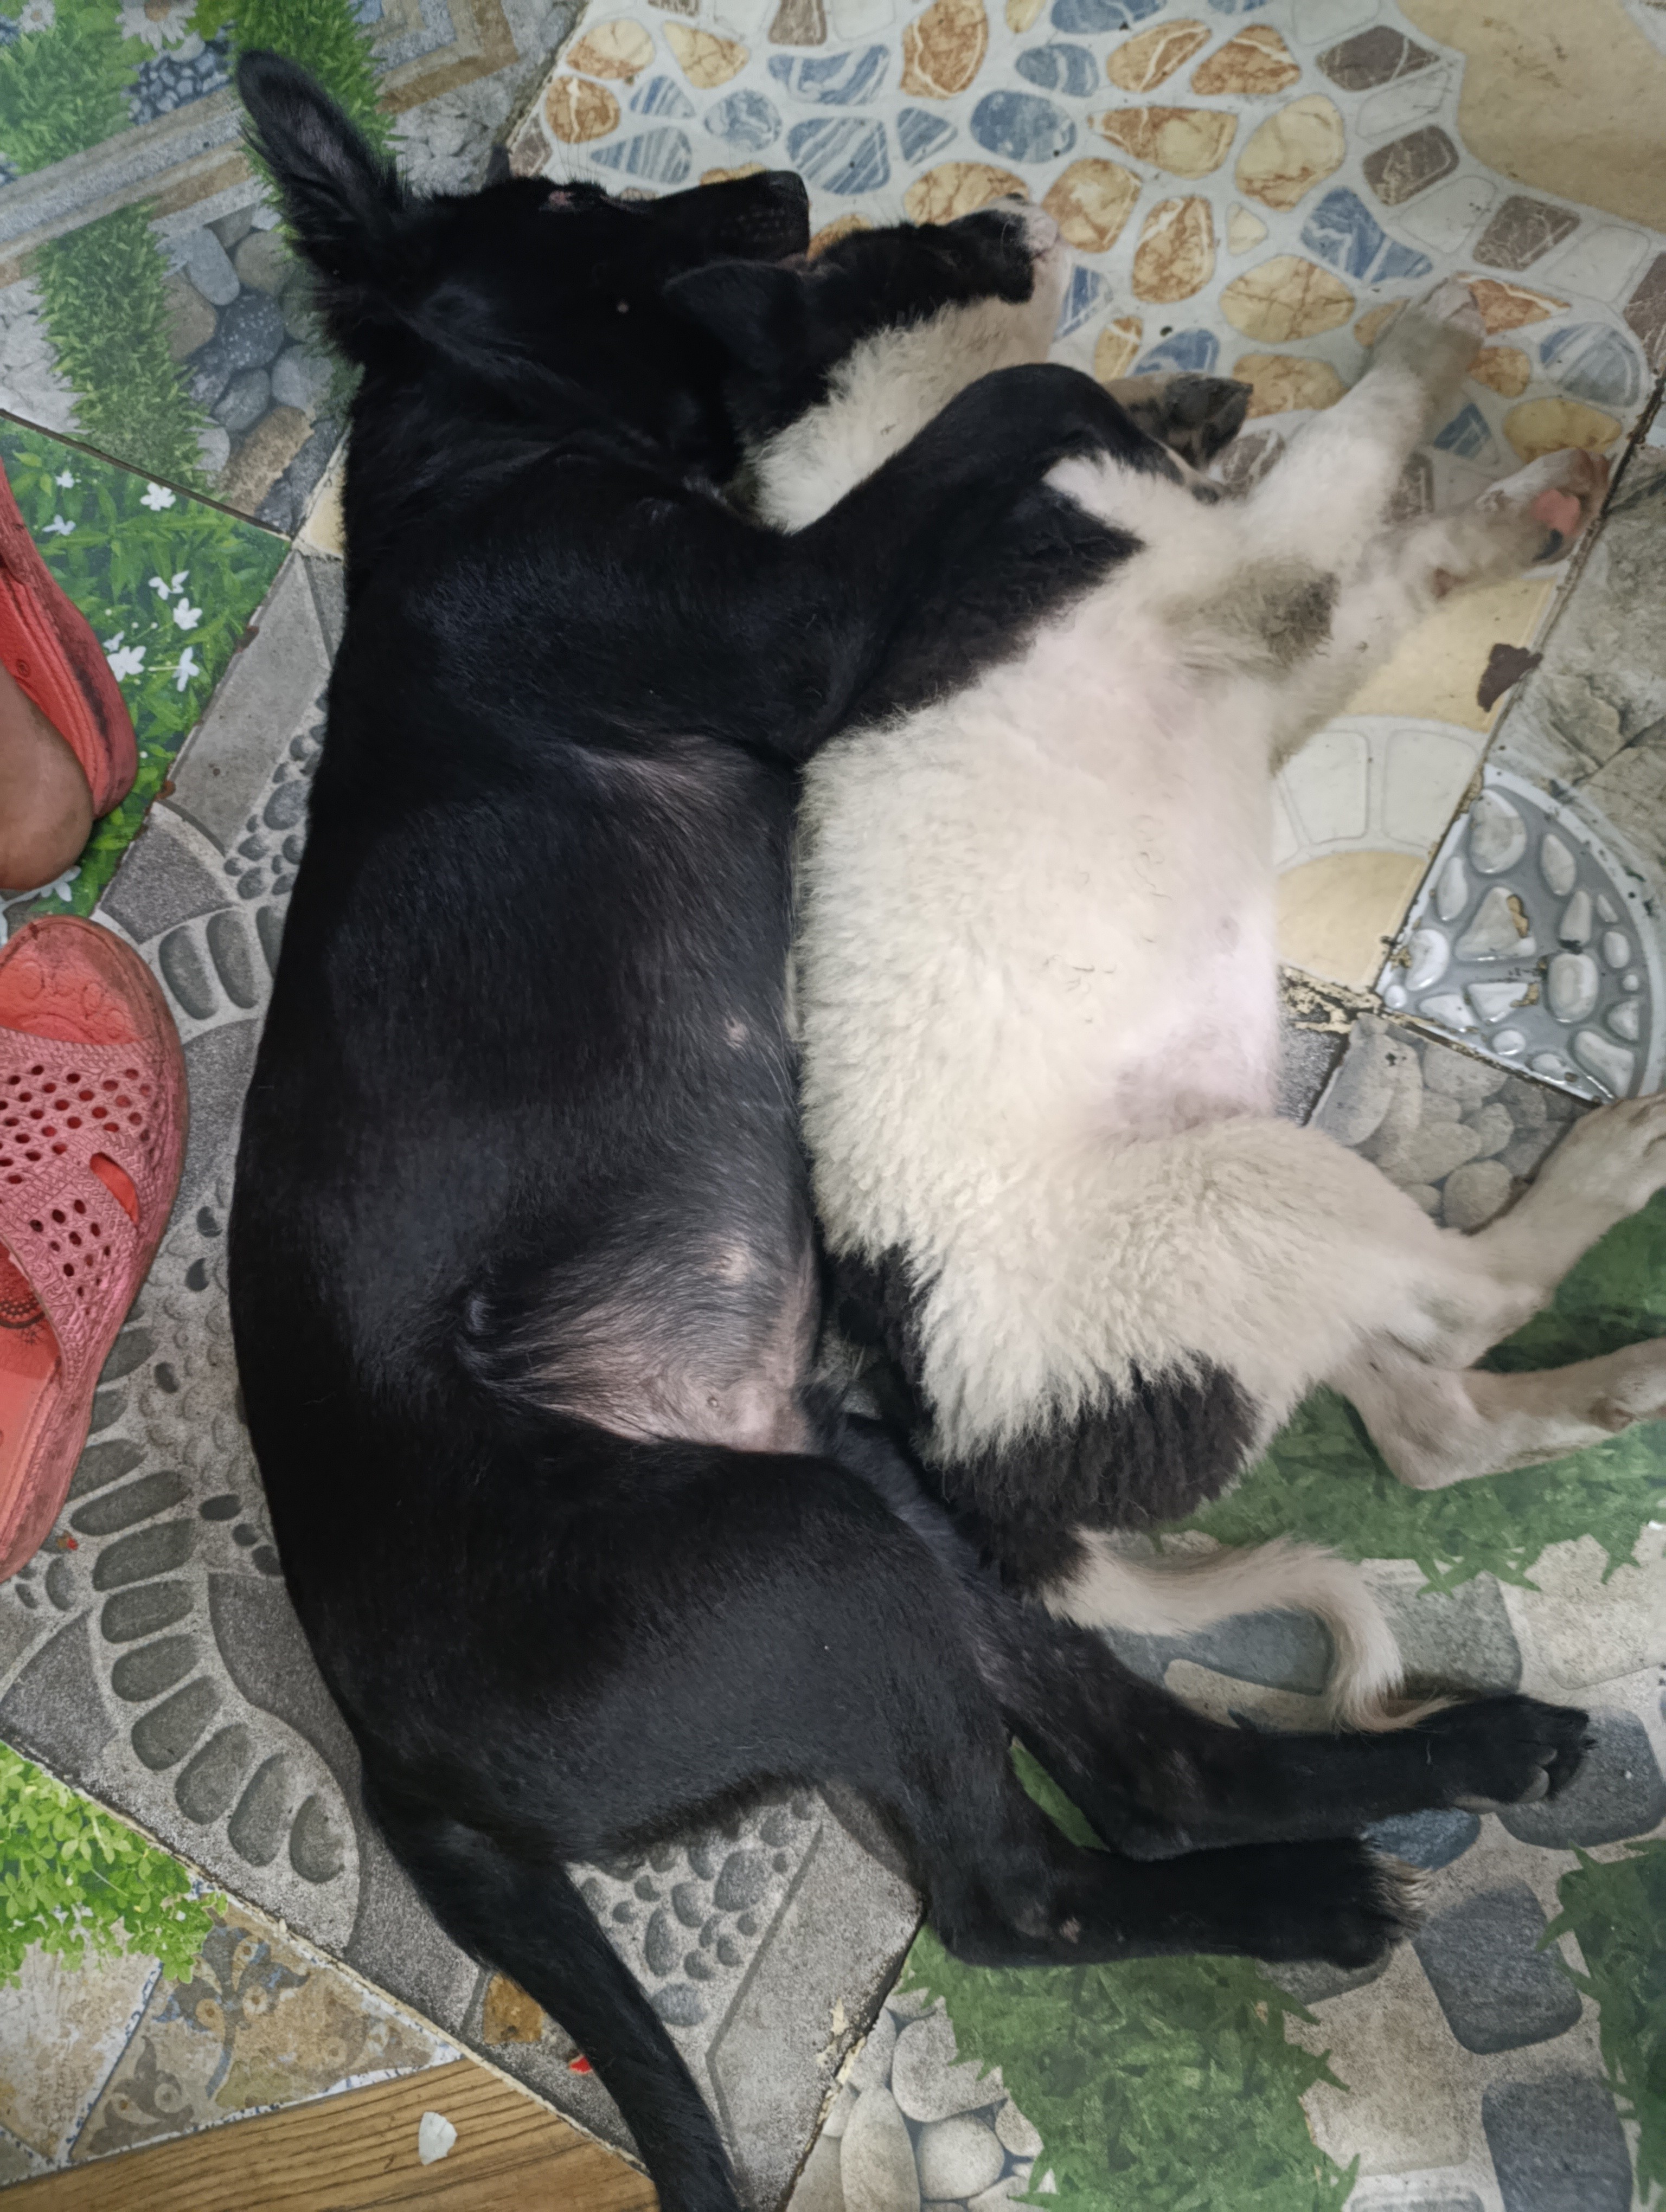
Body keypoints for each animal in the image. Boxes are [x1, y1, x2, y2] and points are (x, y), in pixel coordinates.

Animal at [679, 217, 1661, 1720]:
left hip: (1257, 1275)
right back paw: (1611, 1185)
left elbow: (1397, 568)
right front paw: (1432, 342)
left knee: (1426, 1423)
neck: (891, 456)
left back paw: (1616, 1390)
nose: (1019, 217)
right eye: (926, 240)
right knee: (1466, 1313)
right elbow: (1354, 453)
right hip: (1251, 1194)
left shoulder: (1281, 648)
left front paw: (1507, 518)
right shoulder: (1255, 573)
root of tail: (971, 1460)